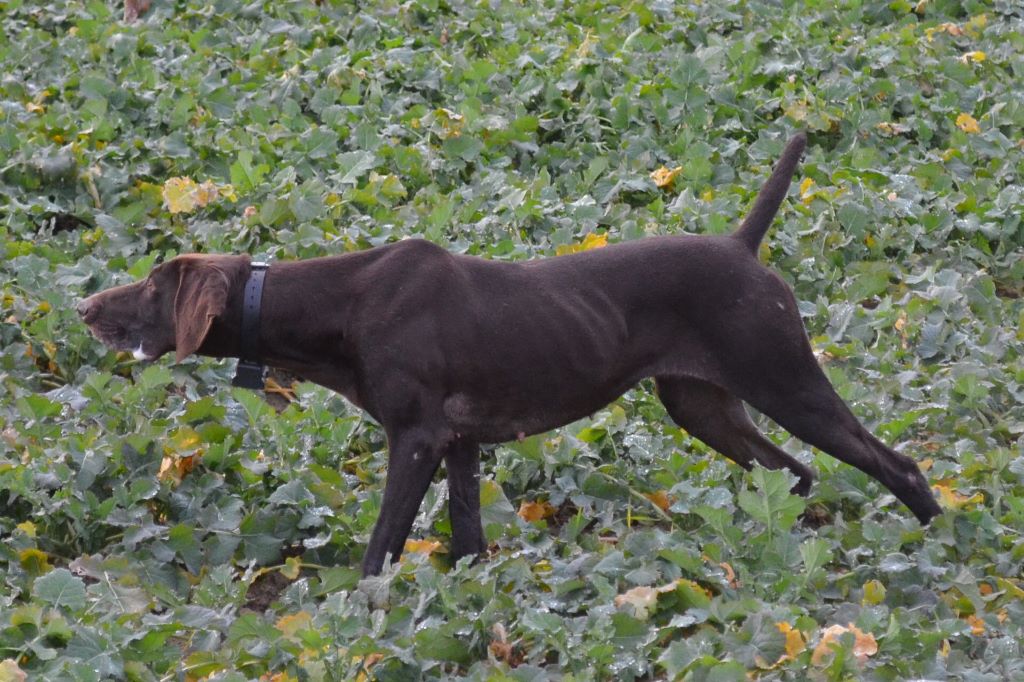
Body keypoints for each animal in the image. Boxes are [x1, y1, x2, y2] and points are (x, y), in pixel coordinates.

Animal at [78, 133, 941, 575]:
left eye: (151, 286)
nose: (86, 308)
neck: (339, 305)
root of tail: (742, 245)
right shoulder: (460, 444)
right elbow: (467, 546)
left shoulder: (417, 438)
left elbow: (379, 550)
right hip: (702, 404)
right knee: (791, 473)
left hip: (785, 379)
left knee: (895, 464)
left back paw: (939, 547)